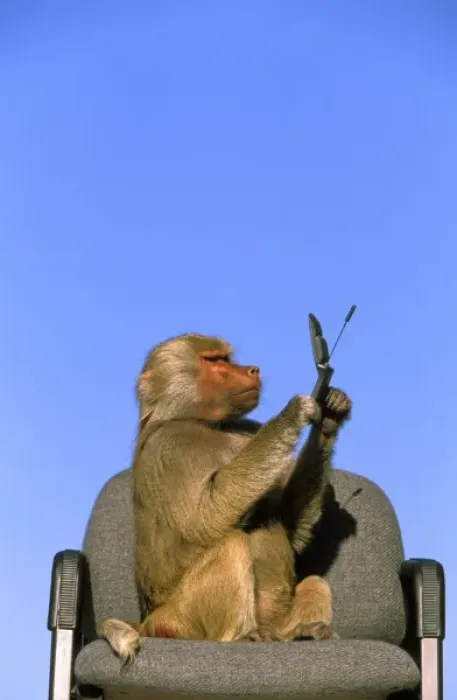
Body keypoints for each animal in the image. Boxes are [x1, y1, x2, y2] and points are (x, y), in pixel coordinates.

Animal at [100, 333, 351, 661]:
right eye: (214, 360)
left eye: (228, 359)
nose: (253, 370)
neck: (208, 422)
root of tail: (148, 622)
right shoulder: (173, 447)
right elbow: (205, 518)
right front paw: (293, 413)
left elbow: (290, 527)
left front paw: (329, 417)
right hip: (180, 620)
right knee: (231, 545)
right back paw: (242, 636)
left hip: (278, 622)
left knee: (314, 582)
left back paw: (307, 632)